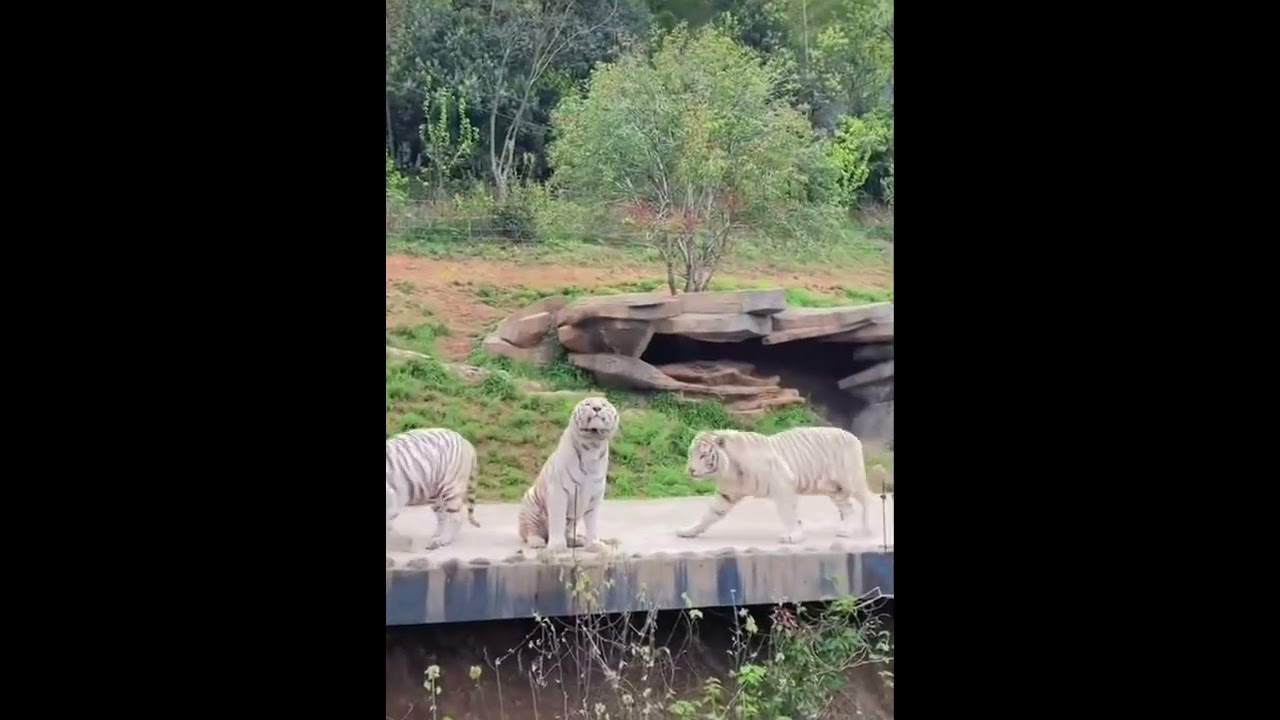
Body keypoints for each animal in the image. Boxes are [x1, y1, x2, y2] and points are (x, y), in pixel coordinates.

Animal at [517, 396, 620, 554]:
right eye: (588, 404)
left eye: (603, 405)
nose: (597, 408)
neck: (592, 445)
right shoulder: (559, 491)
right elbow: (558, 518)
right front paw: (557, 547)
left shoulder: (595, 495)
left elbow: (592, 522)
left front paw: (595, 545)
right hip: (530, 504)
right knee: (530, 531)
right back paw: (537, 542)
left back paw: (577, 539)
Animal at [677, 426, 876, 544]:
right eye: (691, 453)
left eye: (703, 455)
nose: (690, 470)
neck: (728, 471)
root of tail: (853, 436)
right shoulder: (727, 493)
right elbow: (709, 513)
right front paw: (688, 531)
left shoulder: (783, 484)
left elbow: (787, 513)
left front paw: (793, 536)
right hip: (835, 489)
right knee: (848, 509)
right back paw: (845, 531)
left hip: (851, 480)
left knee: (867, 500)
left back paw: (868, 529)